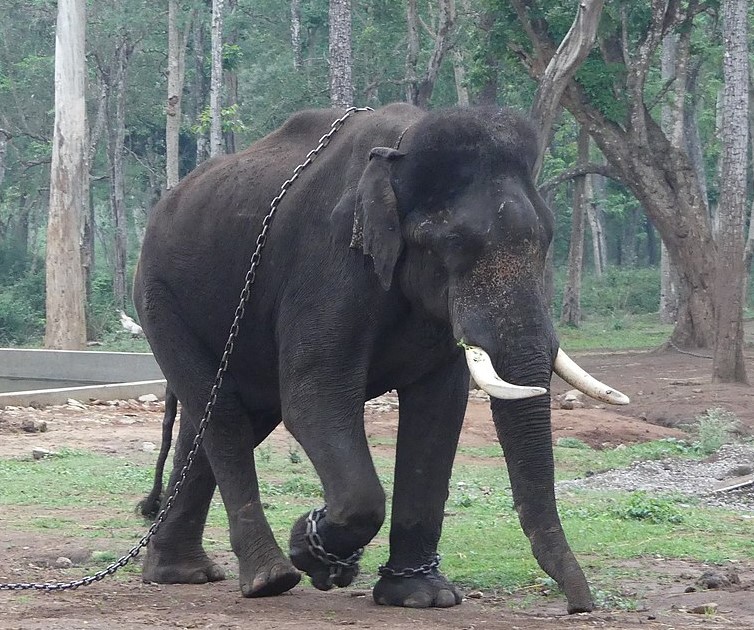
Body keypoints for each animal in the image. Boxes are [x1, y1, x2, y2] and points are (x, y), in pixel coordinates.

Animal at [132, 105, 624, 616]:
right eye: (455, 243)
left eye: (547, 239)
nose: (580, 605)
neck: (400, 153)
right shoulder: (330, 263)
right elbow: (314, 400)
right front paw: (312, 550)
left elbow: (439, 411)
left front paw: (422, 596)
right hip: (159, 299)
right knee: (224, 418)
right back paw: (270, 579)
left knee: (216, 421)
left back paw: (179, 573)